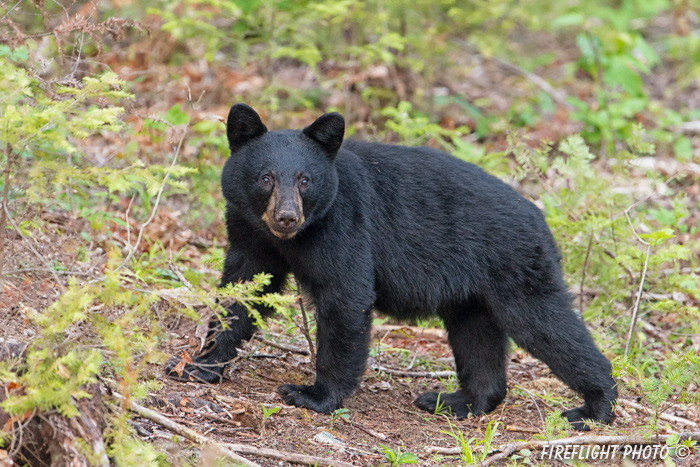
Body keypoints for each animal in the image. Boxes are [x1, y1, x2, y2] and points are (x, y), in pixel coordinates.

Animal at [167, 103, 616, 432]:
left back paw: (594, 407)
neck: (292, 239)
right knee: (477, 337)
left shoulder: (345, 226)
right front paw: (197, 364)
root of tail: (540, 218)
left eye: (305, 179)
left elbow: (346, 299)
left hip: (516, 268)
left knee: (548, 326)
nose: (287, 217)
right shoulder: (250, 235)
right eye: (265, 178)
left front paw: (313, 395)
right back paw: (456, 400)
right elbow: (241, 293)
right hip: (473, 293)